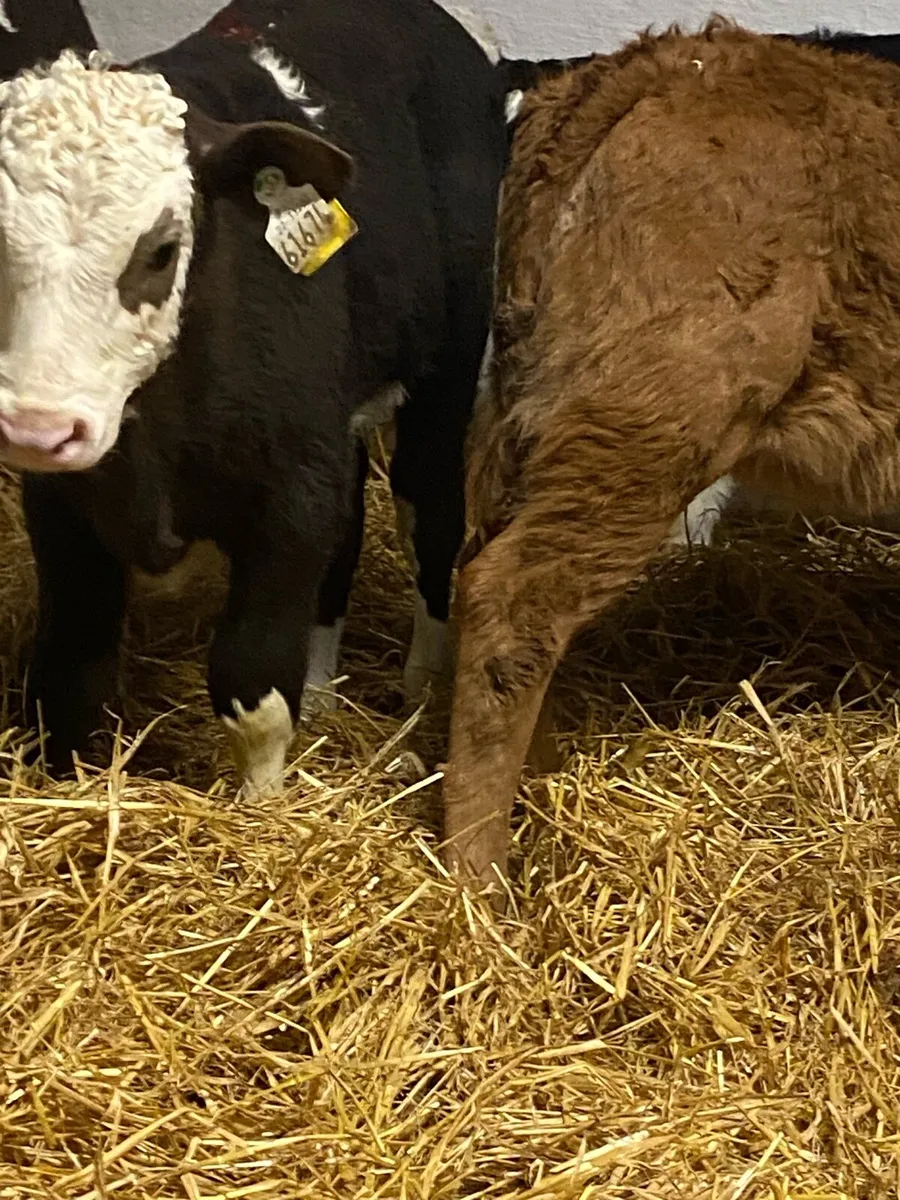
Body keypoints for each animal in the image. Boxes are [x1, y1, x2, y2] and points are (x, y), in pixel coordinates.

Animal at [1, 0, 508, 797]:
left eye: (160, 251)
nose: (37, 428)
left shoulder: (289, 496)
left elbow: (254, 685)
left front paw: (262, 802)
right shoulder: (62, 506)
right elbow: (71, 677)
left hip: (445, 376)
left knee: (429, 514)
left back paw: (423, 684)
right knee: (350, 527)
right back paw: (325, 686)